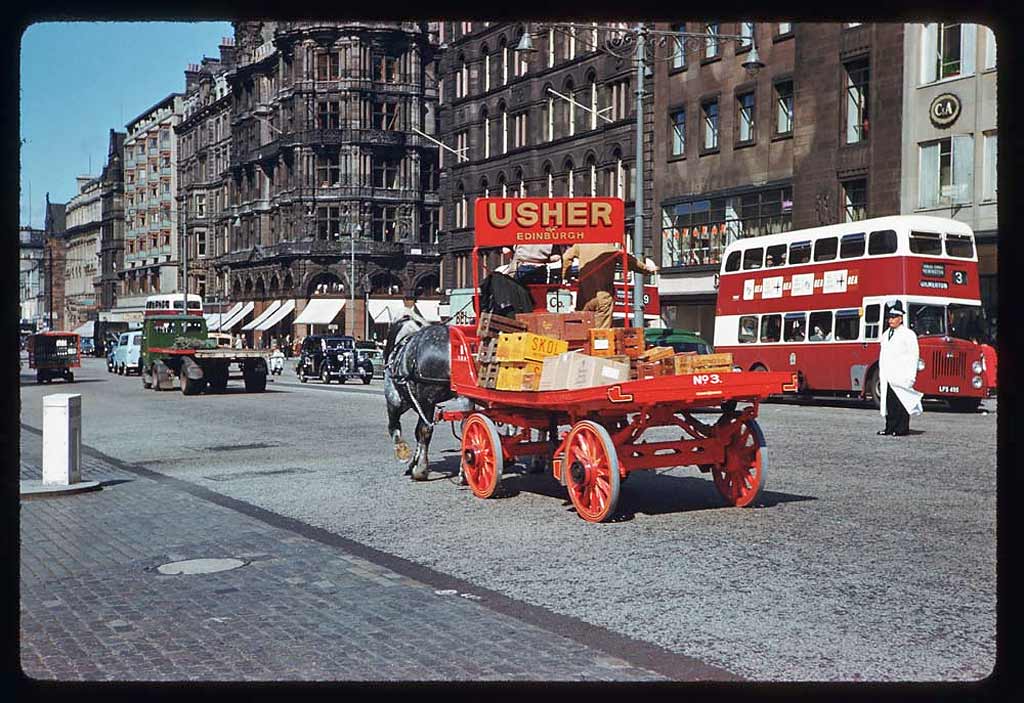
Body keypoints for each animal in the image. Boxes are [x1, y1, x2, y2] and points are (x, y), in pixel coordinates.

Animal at [380, 317, 452, 480]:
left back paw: (421, 470)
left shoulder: (393, 402)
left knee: (426, 430)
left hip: (427, 398)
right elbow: (417, 432)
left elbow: (395, 428)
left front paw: (404, 453)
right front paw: (412, 463)